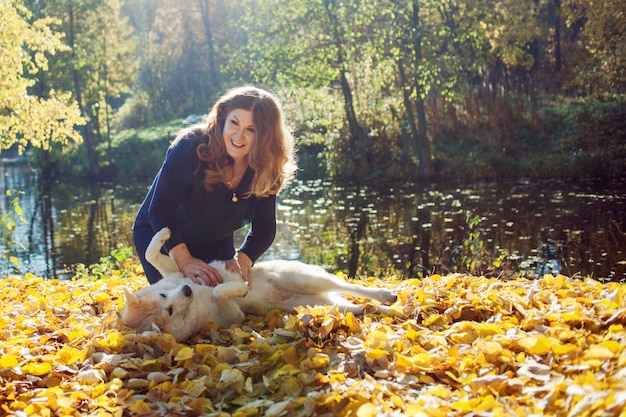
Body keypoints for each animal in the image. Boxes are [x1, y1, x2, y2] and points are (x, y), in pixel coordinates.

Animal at [122, 228, 394, 342]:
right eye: (168, 311)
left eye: (163, 295)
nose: (187, 290)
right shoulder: (234, 315)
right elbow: (220, 292)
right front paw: (241, 288)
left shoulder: (178, 269)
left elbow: (150, 253)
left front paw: (164, 233)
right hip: (325, 306)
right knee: (362, 307)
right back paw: (388, 306)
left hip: (308, 279)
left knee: (356, 290)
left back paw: (387, 295)